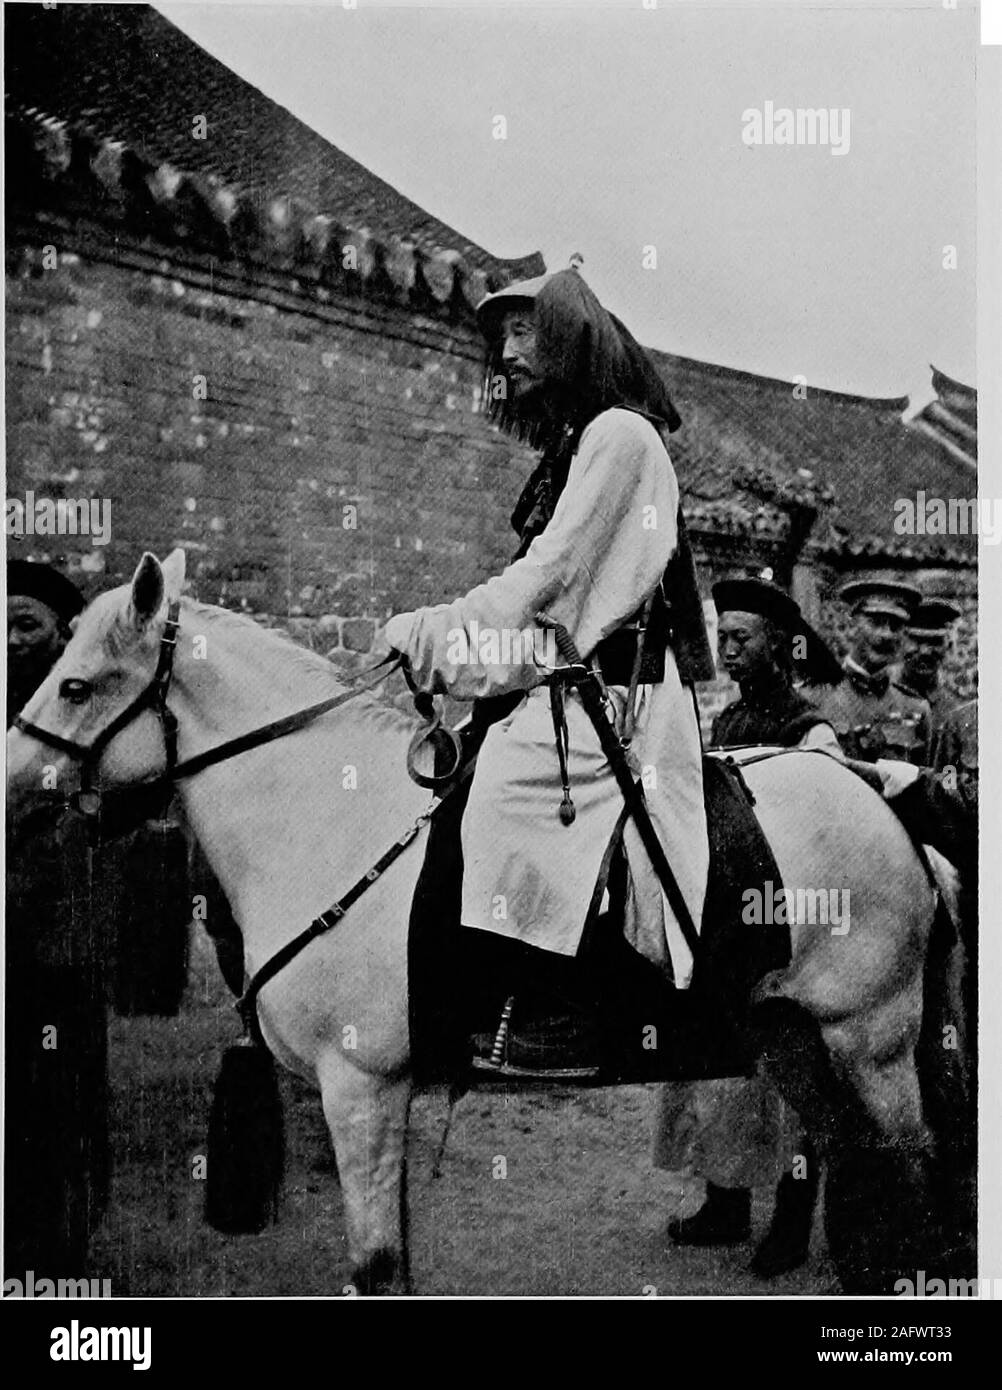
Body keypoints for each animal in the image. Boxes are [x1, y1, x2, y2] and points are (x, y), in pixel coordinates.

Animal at [3, 550, 967, 1289]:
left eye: (76, 685)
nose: (11, 786)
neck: (331, 814)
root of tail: (884, 798)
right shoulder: (378, 1097)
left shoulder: (360, 1088)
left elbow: (375, 1266)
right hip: (794, 1040)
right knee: (845, 1158)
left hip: (870, 1045)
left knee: (907, 1171)